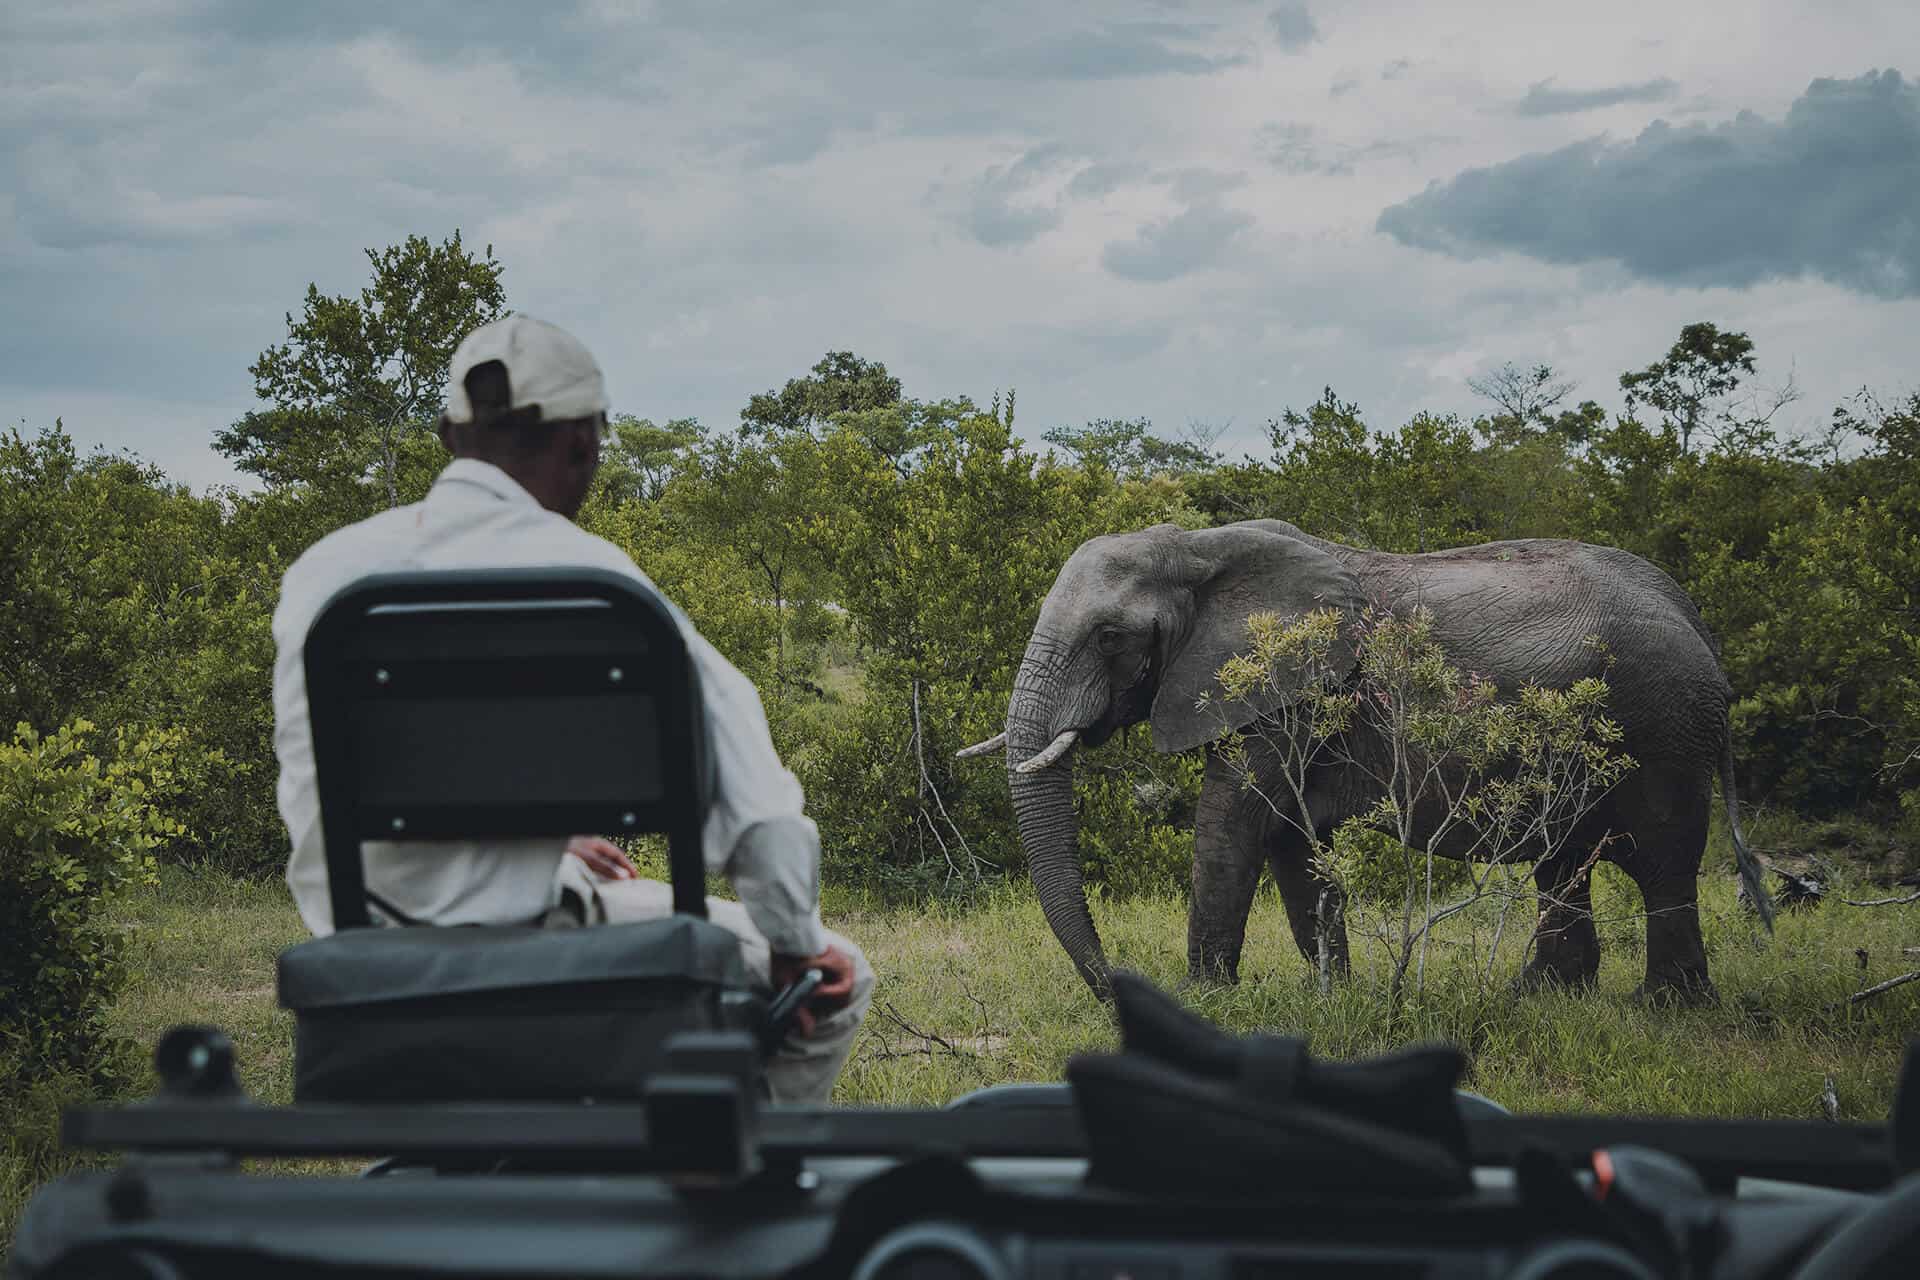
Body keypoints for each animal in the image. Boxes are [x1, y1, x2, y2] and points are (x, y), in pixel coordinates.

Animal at [967, 518, 1774, 997]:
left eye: (1109, 637)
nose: (1116, 988)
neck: (1199, 546)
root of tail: (1696, 621)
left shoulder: (1293, 687)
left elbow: (1234, 826)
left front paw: (1206, 1003)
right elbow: (1294, 842)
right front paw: (1334, 997)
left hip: (1665, 730)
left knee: (1664, 864)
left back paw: (1666, 1006)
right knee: (1565, 861)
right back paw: (1544, 998)